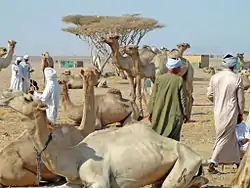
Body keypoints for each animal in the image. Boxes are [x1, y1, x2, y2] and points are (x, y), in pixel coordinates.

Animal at [2, 67, 208, 188]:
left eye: (27, 98)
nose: (5, 94)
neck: (73, 155)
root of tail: (197, 155)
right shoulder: (72, 182)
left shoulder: (99, 180)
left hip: (185, 162)